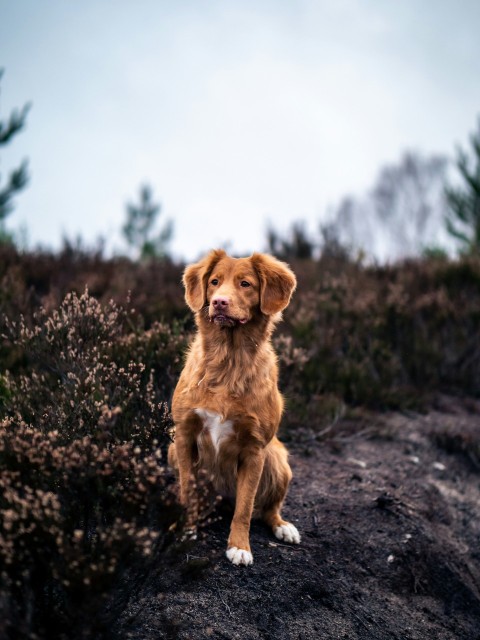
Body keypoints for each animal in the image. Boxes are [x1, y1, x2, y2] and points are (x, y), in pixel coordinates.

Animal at [169, 250, 300, 564]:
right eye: (214, 282)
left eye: (245, 284)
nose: (219, 302)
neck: (229, 361)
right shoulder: (184, 435)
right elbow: (186, 489)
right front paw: (185, 529)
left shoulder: (255, 449)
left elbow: (245, 507)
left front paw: (239, 546)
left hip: (278, 460)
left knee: (267, 509)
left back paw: (283, 527)